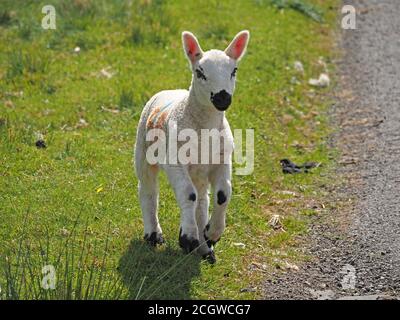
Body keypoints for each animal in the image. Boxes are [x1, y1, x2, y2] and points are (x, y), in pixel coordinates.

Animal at [134, 31, 250, 264]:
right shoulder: (174, 161)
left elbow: (223, 194)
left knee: (203, 199)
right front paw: (187, 238)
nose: (223, 98)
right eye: (200, 72)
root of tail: (170, 90)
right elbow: (188, 195)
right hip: (142, 149)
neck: (205, 129)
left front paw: (212, 234)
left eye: (234, 71)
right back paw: (153, 234)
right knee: (148, 189)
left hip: (199, 171)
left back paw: (204, 247)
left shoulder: (222, 159)